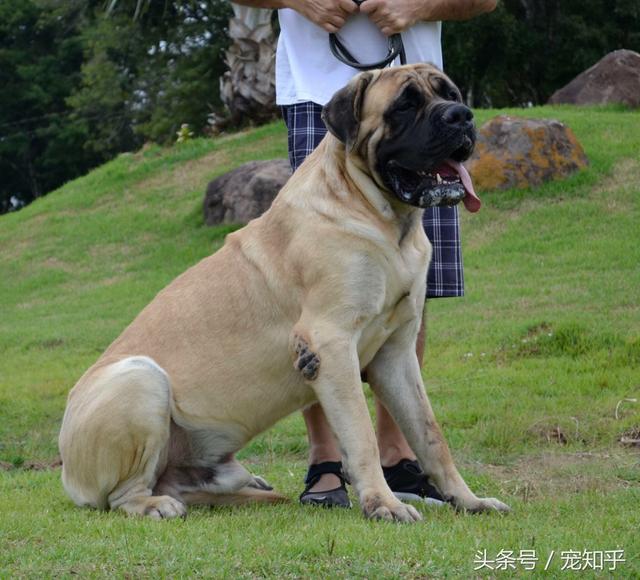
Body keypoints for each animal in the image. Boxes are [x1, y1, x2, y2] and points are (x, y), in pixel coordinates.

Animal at [60, 63, 510, 520]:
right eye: (405, 105)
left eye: (449, 93)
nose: (461, 116)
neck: (381, 218)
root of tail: (68, 474)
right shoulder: (330, 343)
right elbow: (361, 434)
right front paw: (383, 504)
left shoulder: (397, 353)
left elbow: (431, 436)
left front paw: (468, 500)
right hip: (141, 379)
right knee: (123, 495)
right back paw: (156, 504)